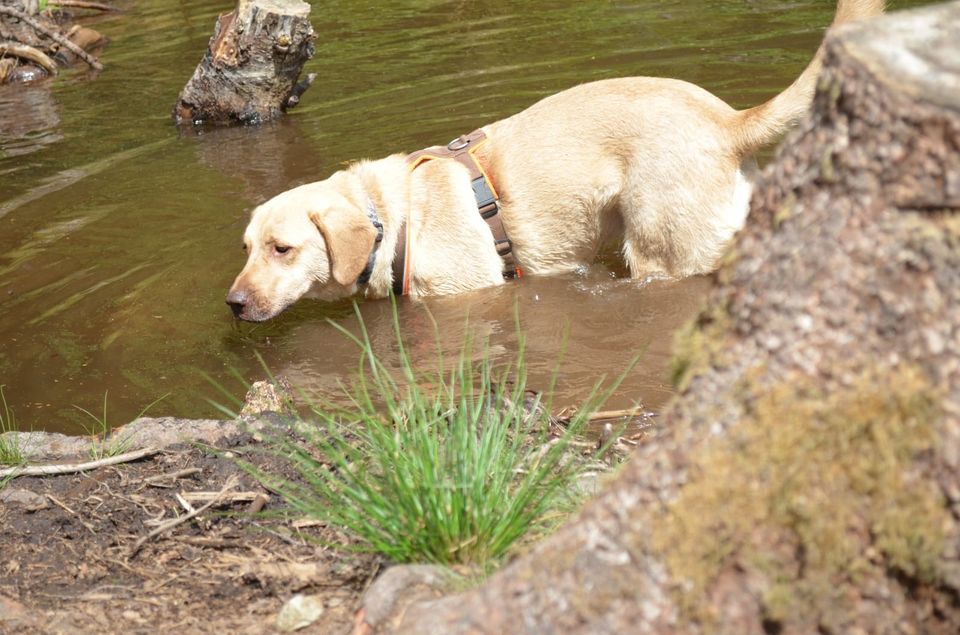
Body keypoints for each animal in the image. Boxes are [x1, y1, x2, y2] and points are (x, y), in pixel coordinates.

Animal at [227, 0, 884, 320]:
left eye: (282, 249)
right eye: (247, 248)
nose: (232, 304)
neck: (390, 217)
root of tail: (728, 123)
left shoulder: (469, 291)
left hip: (664, 251)